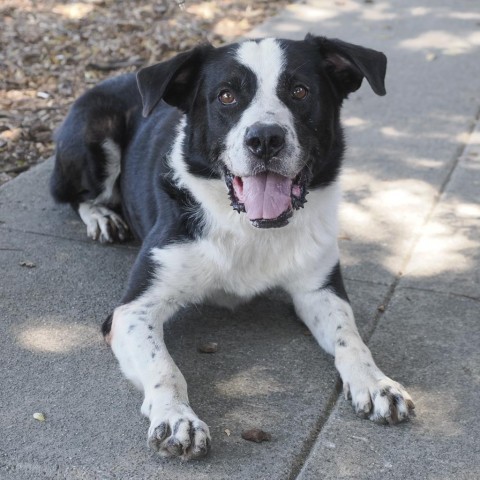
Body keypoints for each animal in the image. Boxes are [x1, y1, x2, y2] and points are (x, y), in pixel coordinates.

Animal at [50, 34, 414, 462]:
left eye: (300, 91)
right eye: (226, 96)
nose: (265, 139)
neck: (251, 228)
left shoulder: (319, 289)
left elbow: (351, 339)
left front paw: (376, 383)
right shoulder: (132, 312)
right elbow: (165, 368)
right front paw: (177, 417)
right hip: (94, 136)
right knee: (76, 196)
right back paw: (101, 217)